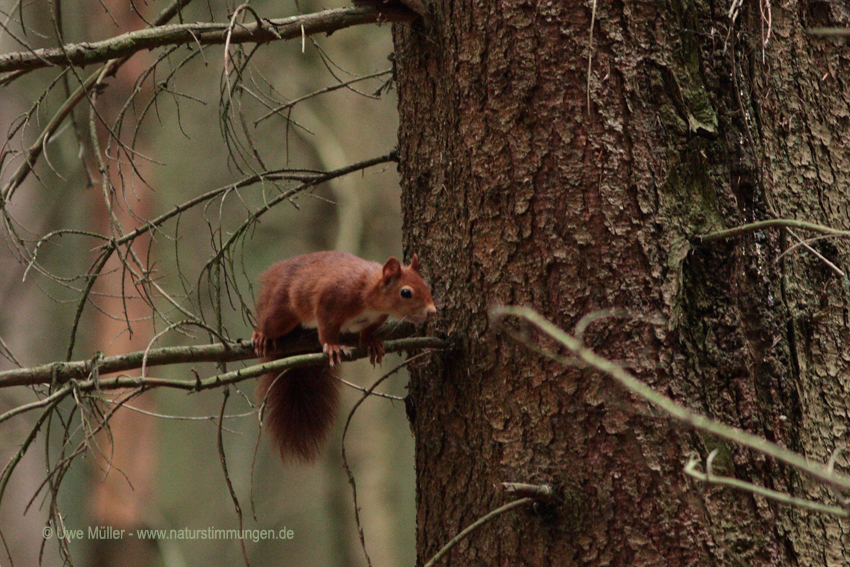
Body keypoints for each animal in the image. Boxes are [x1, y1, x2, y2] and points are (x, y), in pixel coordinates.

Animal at [250, 252, 438, 462]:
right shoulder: (330, 299)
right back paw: (261, 335)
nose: (432, 312)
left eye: (425, 284)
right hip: (283, 307)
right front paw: (332, 347)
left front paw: (372, 343)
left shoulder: (377, 318)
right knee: (270, 321)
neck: (369, 291)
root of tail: (275, 274)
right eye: (406, 293)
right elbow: (326, 328)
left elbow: (368, 332)